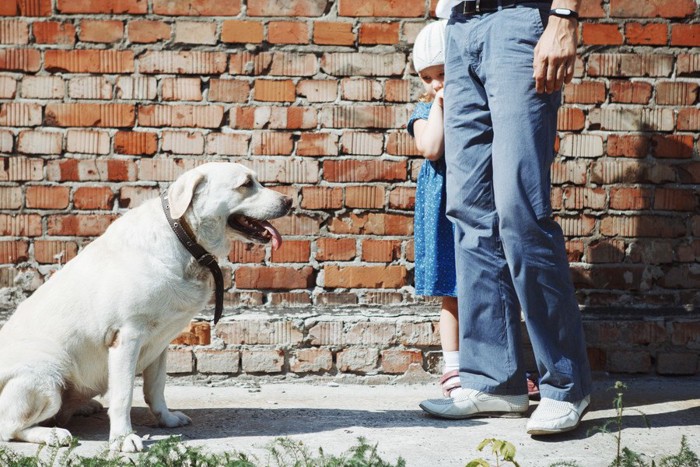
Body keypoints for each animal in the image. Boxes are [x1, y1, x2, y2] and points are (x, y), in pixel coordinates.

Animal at [0, 163, 292, 452]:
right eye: (246, 184)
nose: (289, 201)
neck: (184, 238)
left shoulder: (160, 342)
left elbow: (156, 387)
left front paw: (167, 419)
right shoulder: (126, 337)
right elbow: (123, 395)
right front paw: (122, 438)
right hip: (47, 378)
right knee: (9, 427)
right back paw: (53, 434)